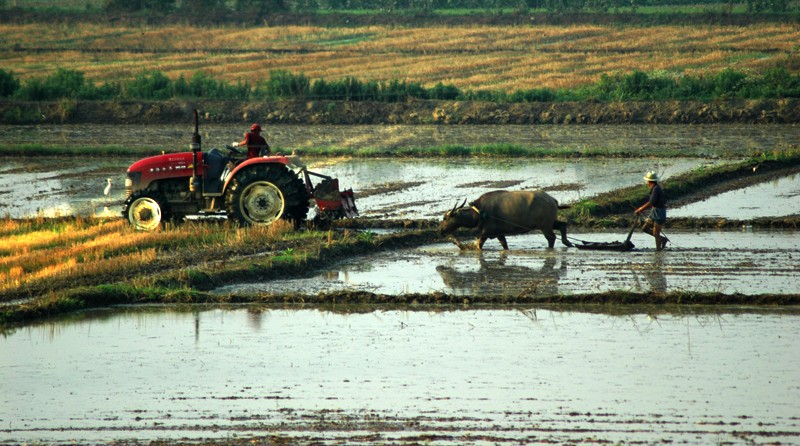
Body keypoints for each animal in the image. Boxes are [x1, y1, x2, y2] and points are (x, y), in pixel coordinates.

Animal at [438, 189, 576, 249]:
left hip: (544, 225)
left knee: (551, 237)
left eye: (445, 218)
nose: (439, 230)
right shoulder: (499, 234)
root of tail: (552, 199)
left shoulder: (485, 233)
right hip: (550, 223)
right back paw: (568, 243)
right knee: (562, 225)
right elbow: (504, 245)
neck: (480, 213)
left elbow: (478, 246)